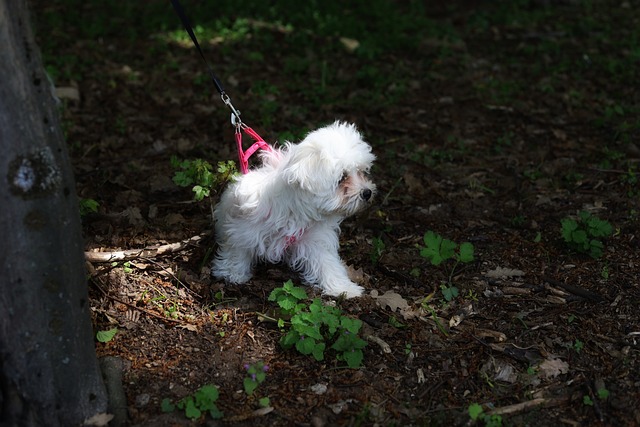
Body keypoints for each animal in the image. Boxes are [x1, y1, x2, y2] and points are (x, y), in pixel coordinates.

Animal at [212, 122, 378, 300]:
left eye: (361, 172)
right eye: (342, 178)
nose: (367, 192)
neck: (296, 210)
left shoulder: (314, 238)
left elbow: (326, 262)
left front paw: (343, 288)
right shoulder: (244, 230)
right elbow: (238, 250)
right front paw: (232, 273)